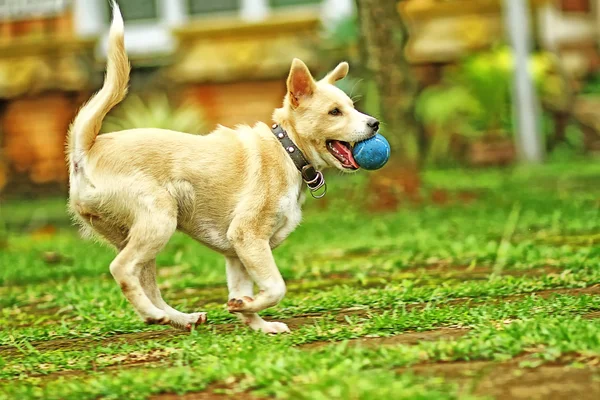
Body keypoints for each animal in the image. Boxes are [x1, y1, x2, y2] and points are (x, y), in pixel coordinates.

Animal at [67, 3, 380, 334]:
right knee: (122, 269)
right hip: (159, 220)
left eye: (352, 107)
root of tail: (86, 149)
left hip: (138, 233)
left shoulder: (236, 252)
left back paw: (179, 318)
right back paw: (152, 315)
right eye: (335, 112)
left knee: (147, 284)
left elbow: (242, 290)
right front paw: (253, 309)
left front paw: (254, 319)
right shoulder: (248, 236)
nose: (375, 124)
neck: (287, 149)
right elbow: (276, 287)